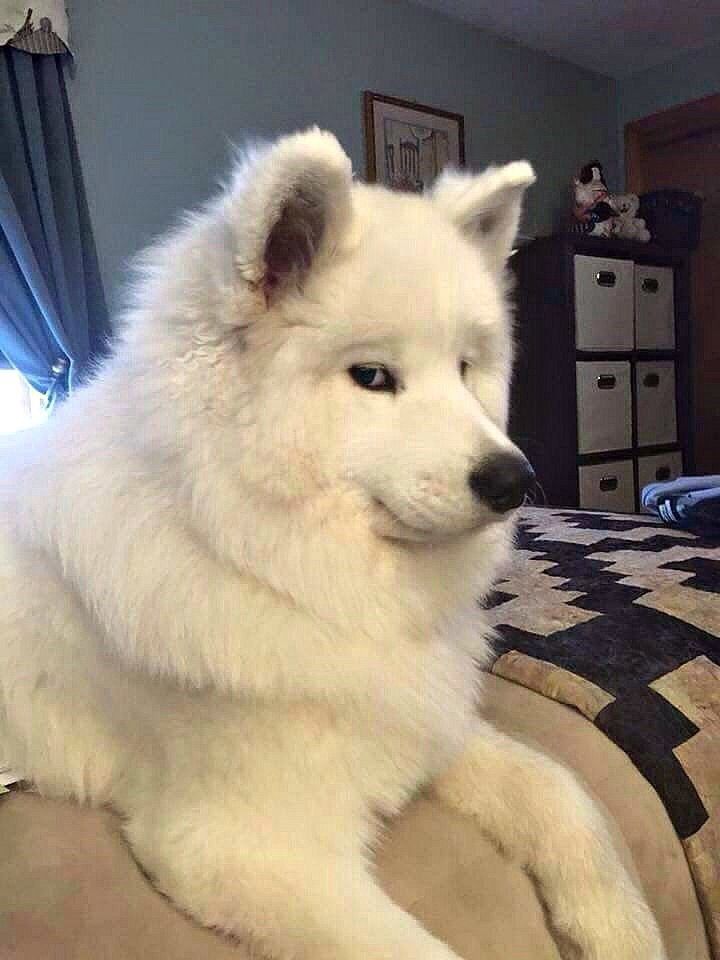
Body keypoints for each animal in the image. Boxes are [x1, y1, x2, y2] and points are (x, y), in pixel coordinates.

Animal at [0, 129, 668, 960]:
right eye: (372, 377)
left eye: (465, 368)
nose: (516, 480)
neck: (272, 565)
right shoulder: (248, 849)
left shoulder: (425, 721)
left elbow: (564, 794)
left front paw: (618, 931)